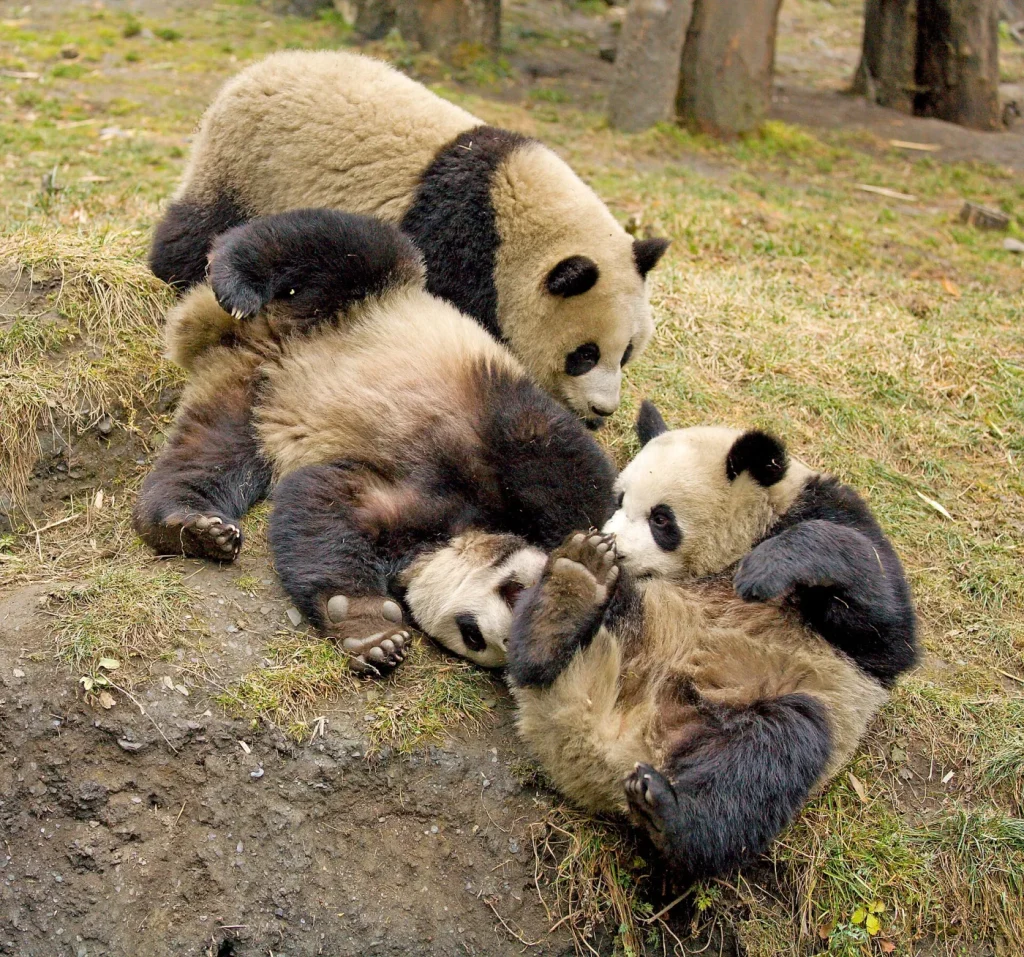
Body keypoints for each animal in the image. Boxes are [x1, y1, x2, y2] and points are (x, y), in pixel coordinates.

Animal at [133, 207, 615, 674]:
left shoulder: (413, 517)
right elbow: (559, 466)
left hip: (244, 398)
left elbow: (325, 503)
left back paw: (188, 525)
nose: (502, 635)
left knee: (208, 451)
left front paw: (368, 632)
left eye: (472, 639)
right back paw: (236, 276)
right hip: (358, 301)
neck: (464, 527)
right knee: (342, 246)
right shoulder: (498, 428)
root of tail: (256, 341)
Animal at [148, 50, 669, 426]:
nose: (603, 410)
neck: (513, 223)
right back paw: (178, 270)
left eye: (627, 353)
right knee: (199, 226)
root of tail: (256, 69)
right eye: (584, 354)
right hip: (246, 164)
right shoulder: (457, 243)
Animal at [505, 401, 918, 883]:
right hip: (640, 615)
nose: (618, 547)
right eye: (620, 499)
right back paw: (572, 588)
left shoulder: (831, 517)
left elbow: (884, 622)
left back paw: (669, 814)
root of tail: (603, 745)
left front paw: (765, 569)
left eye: (661, 519)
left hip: (772, 697)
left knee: (769, 756)